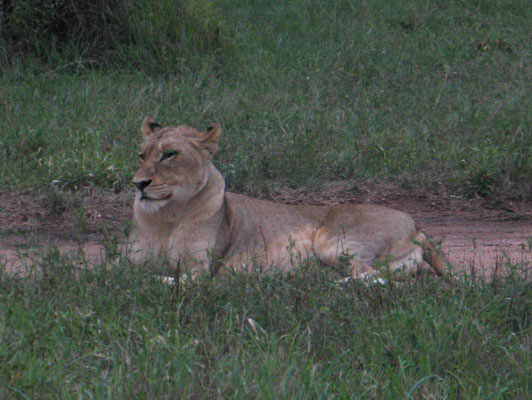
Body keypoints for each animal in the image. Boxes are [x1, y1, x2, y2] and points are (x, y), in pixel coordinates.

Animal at [128, 118, 448, 282]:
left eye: (170, 154)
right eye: (141, 155)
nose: (139, 184)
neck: (168, 216)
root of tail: (416, 226)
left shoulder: (201, 268)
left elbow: (175, 280)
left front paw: (157, 281)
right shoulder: (130, 259)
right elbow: (121, 271)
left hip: (334, 244)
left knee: (371, 277)